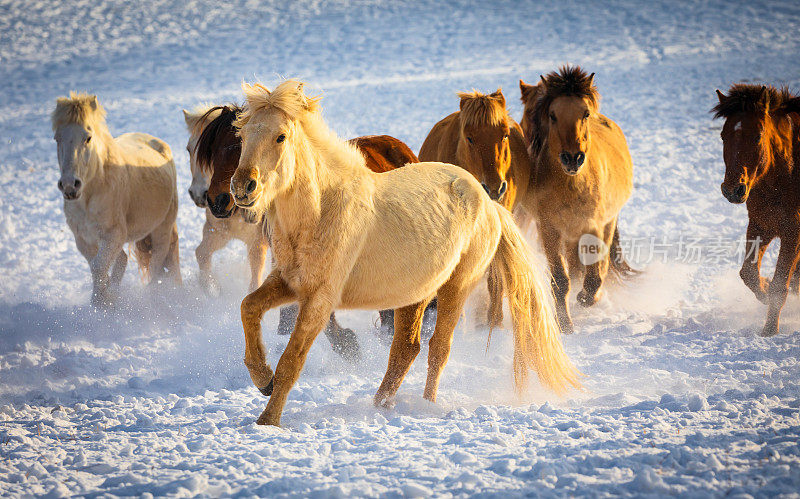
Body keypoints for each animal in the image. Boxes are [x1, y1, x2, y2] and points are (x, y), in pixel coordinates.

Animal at [54, 92, 182, 306]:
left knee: (157, 263)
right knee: (123, 259)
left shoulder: (113, 235)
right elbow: (97, 266)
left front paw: (100, 303)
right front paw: (106, 300)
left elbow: (98, 266)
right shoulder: (84, 239)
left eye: (88, 138)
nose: (70, 186)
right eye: (57, 138)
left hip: (161, 229)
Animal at [228, 80, 580, 428]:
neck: (321, 211)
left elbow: (292, 360)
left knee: (438, 348)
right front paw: (263, 379)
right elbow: (248, 307)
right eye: (242, 136)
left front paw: (268, 420)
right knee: (405, 350)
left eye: (280, 137)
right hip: (415, 293)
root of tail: (487, 200)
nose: (243, 187)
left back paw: (427, 406)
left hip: (456, 287)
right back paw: (380, 406)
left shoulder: (320, 299)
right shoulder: (290, 283)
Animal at [520, 64, 636, 334]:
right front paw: (565, 324)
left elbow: (595, 274)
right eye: (552, 115)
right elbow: (560, 280)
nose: (572, 158)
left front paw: (586, 298)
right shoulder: (549, 230)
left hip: (606, 222)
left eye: (585, 113)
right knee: (574, 267)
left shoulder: (592, 226)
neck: (571, 186)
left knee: (601, 264)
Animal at [712, 86, 800, 338]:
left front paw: (769, 331)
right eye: (723, 135)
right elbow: (748, 272)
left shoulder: (793, 232)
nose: (733, 190)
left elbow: (781, 285)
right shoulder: (761, 225)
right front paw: (765, 288)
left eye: (758, 135)